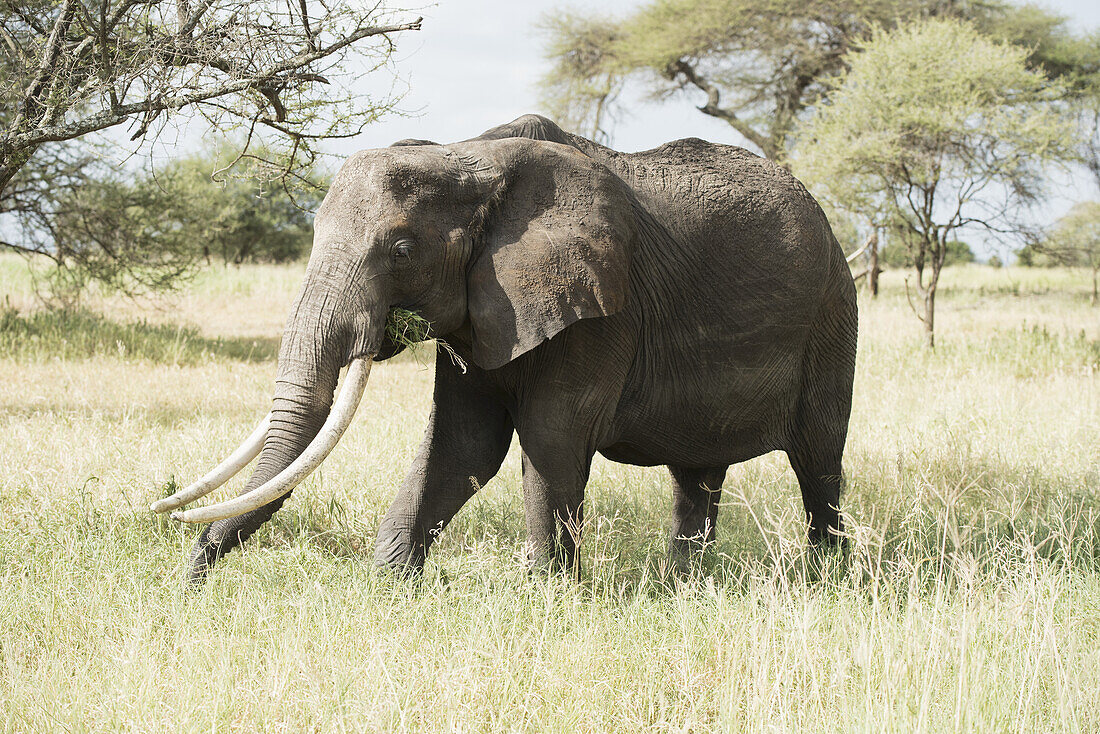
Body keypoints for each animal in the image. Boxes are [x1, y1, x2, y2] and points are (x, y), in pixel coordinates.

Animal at [152, 112, 858, 581]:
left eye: (401, 251)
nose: (188, 582)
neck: (469, 158)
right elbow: (462, 444)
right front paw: (389, 589)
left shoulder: (602, 309)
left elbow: (550, 440)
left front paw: (548, 596)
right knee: (697, 474)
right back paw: (682, 588)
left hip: (834, 317)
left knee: (819, 459)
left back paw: (826, 580)